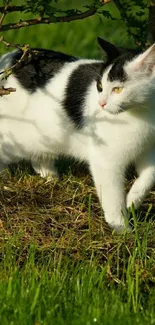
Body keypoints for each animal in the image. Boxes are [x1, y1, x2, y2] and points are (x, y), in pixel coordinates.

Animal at [0, 38, 155, 230]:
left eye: (117, 89)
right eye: (100, 86)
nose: (101, 103)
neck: (142, 113)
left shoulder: (147, 149)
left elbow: (150, 175)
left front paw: (133, 200)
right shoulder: (106, 161)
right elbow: (112, 197)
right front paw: (121, 228)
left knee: (39, 157)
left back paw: (51, 177)